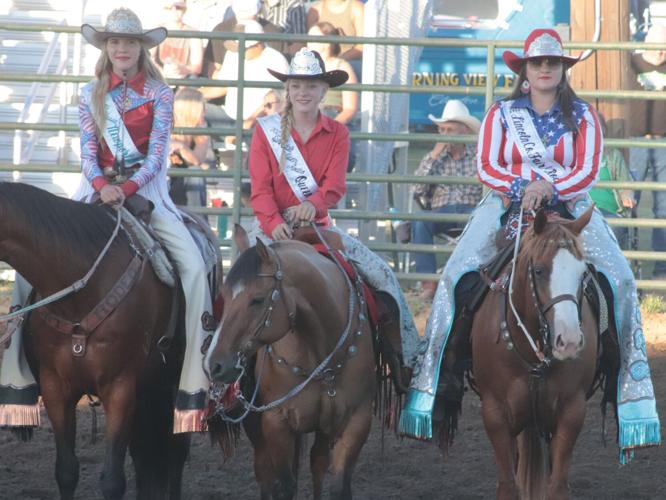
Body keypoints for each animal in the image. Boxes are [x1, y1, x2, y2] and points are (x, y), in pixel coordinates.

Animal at [0, 182, 195, 498]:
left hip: (175, 381)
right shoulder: (56, 388)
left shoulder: (120, 389)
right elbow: (66, 471)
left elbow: (113, 481)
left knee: (175, 452)